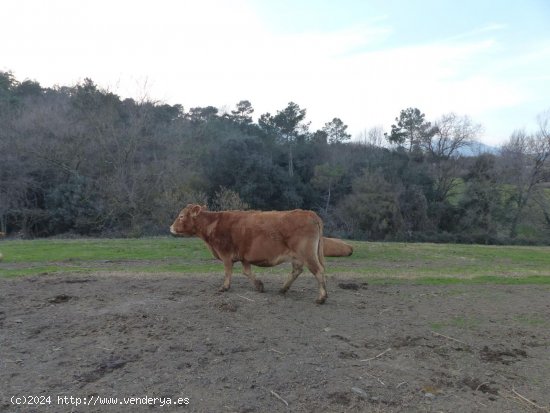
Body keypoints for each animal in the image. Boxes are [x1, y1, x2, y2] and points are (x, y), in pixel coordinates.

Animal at [170, 204, 330, 302]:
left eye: (181, 216)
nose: (171, 227)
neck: (213, 224)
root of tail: (310, 213)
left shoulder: (226, 254)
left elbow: (228, 271)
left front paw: (224, 287)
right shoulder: (244, 257)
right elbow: (246, 272)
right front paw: (259, 286)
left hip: (307, 253)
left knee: (318, 271)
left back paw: (321, 297)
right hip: (297, 256)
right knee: (297, 271)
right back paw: (283, 289)